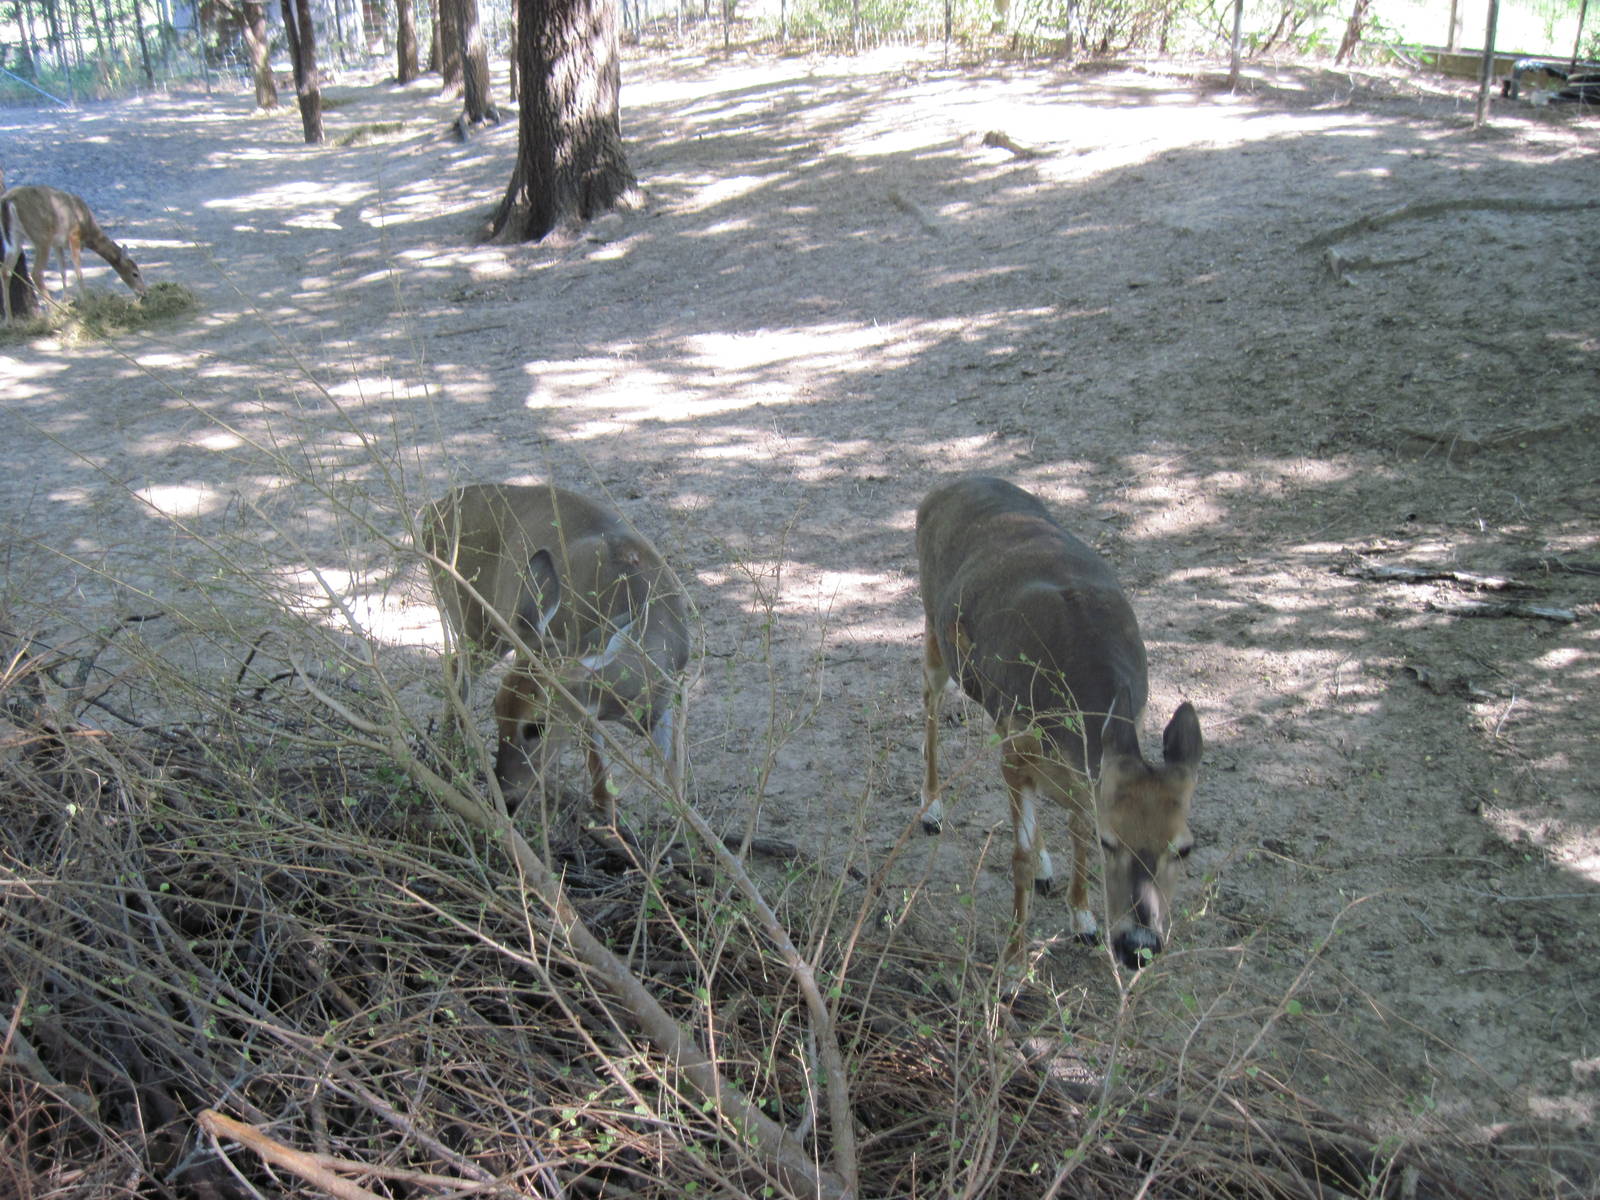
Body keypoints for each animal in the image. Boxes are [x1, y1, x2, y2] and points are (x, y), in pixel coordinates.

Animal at [0, 184, 148, 322]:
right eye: (135, 273)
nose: (143, 293)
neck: (88, 230)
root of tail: (8, 200)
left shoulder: (57, 244)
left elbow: (63, 271)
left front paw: (66, 300)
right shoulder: (74, 235)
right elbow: (78, 271)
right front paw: (86, 300)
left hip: (14, 238)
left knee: (6, 271)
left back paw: (9, 320)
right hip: (41, 236)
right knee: (36, 273)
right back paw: (52, 311)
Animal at [420, 483, 691, 825]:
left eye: (537, 725)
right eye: (498, 708)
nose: (504, 800)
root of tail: (432, 510)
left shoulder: (663, 704)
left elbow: (674, 777)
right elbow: (595, 756)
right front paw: (605, 816)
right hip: (476, 619)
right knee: (458, 667)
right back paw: (451, 754)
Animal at [916, 476, 1203, 971]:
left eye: (1183, 848)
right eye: (1111, 841)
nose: (1138, 947)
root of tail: (943, 488)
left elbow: (1075, 826)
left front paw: (1083, 919)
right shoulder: (1018, 752)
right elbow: (1020, 857)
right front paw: (1013, 960)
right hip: (934, 627)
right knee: (931, 702)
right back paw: (931, 809)